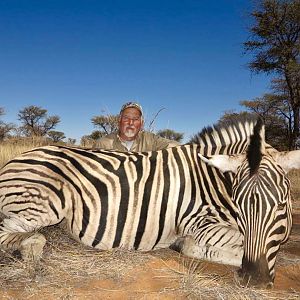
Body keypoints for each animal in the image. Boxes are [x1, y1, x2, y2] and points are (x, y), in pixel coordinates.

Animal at [0, 118, 298, 288]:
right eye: (240, 204)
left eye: (281, 205)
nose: (254, 279)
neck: (212, 180)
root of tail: (16, 159)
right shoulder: (198, 223)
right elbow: (249, 245)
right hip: (42, 203)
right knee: (16, 234)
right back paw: (29, 248)